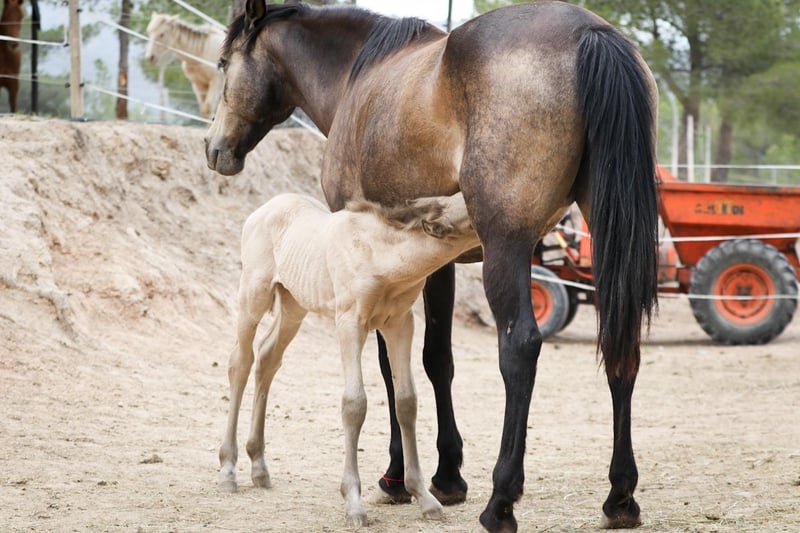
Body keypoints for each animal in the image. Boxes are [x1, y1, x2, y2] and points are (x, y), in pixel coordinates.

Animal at [222, 191, 479, 526]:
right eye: (473, 210)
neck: (378, 254)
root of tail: (265, 207)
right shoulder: (349, 322)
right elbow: (354, 404)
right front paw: (354, 504)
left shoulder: (400, 323)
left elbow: (406, 402)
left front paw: (424, 498)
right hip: (253, 297)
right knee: (240, 362)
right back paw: (228, 469)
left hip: (293, 306)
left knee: (267, 358)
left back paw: (259, 467)